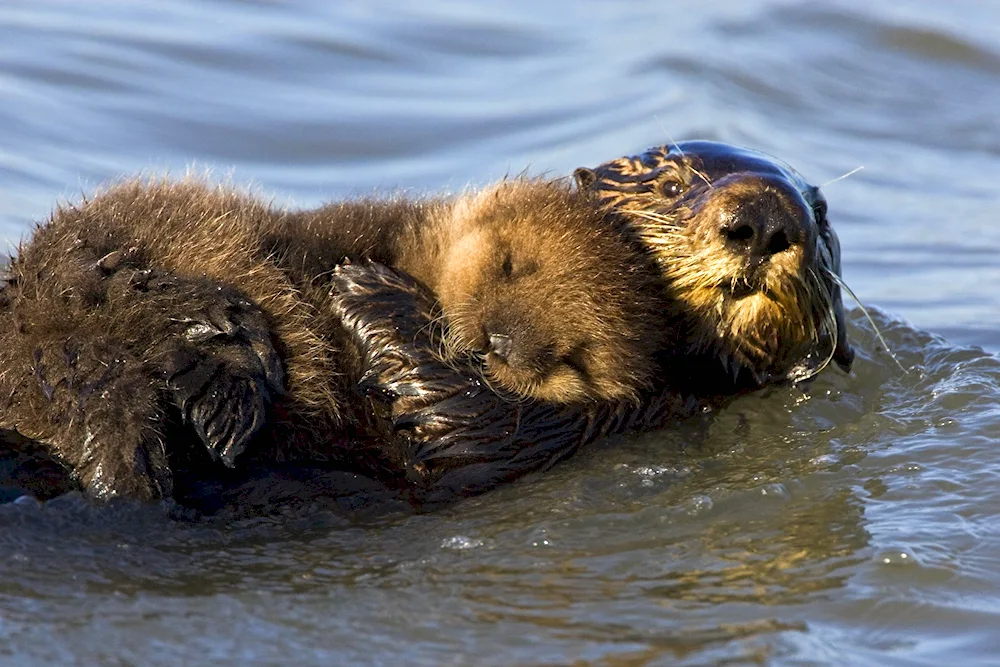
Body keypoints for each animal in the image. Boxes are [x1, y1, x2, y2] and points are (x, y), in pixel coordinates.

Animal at [1, 175, 672, 498]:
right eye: (513, 265)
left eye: (574, 360)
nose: (498, 342)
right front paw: (357, 285)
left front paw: (369, 297)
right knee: (85, 270)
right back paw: (216, 342)